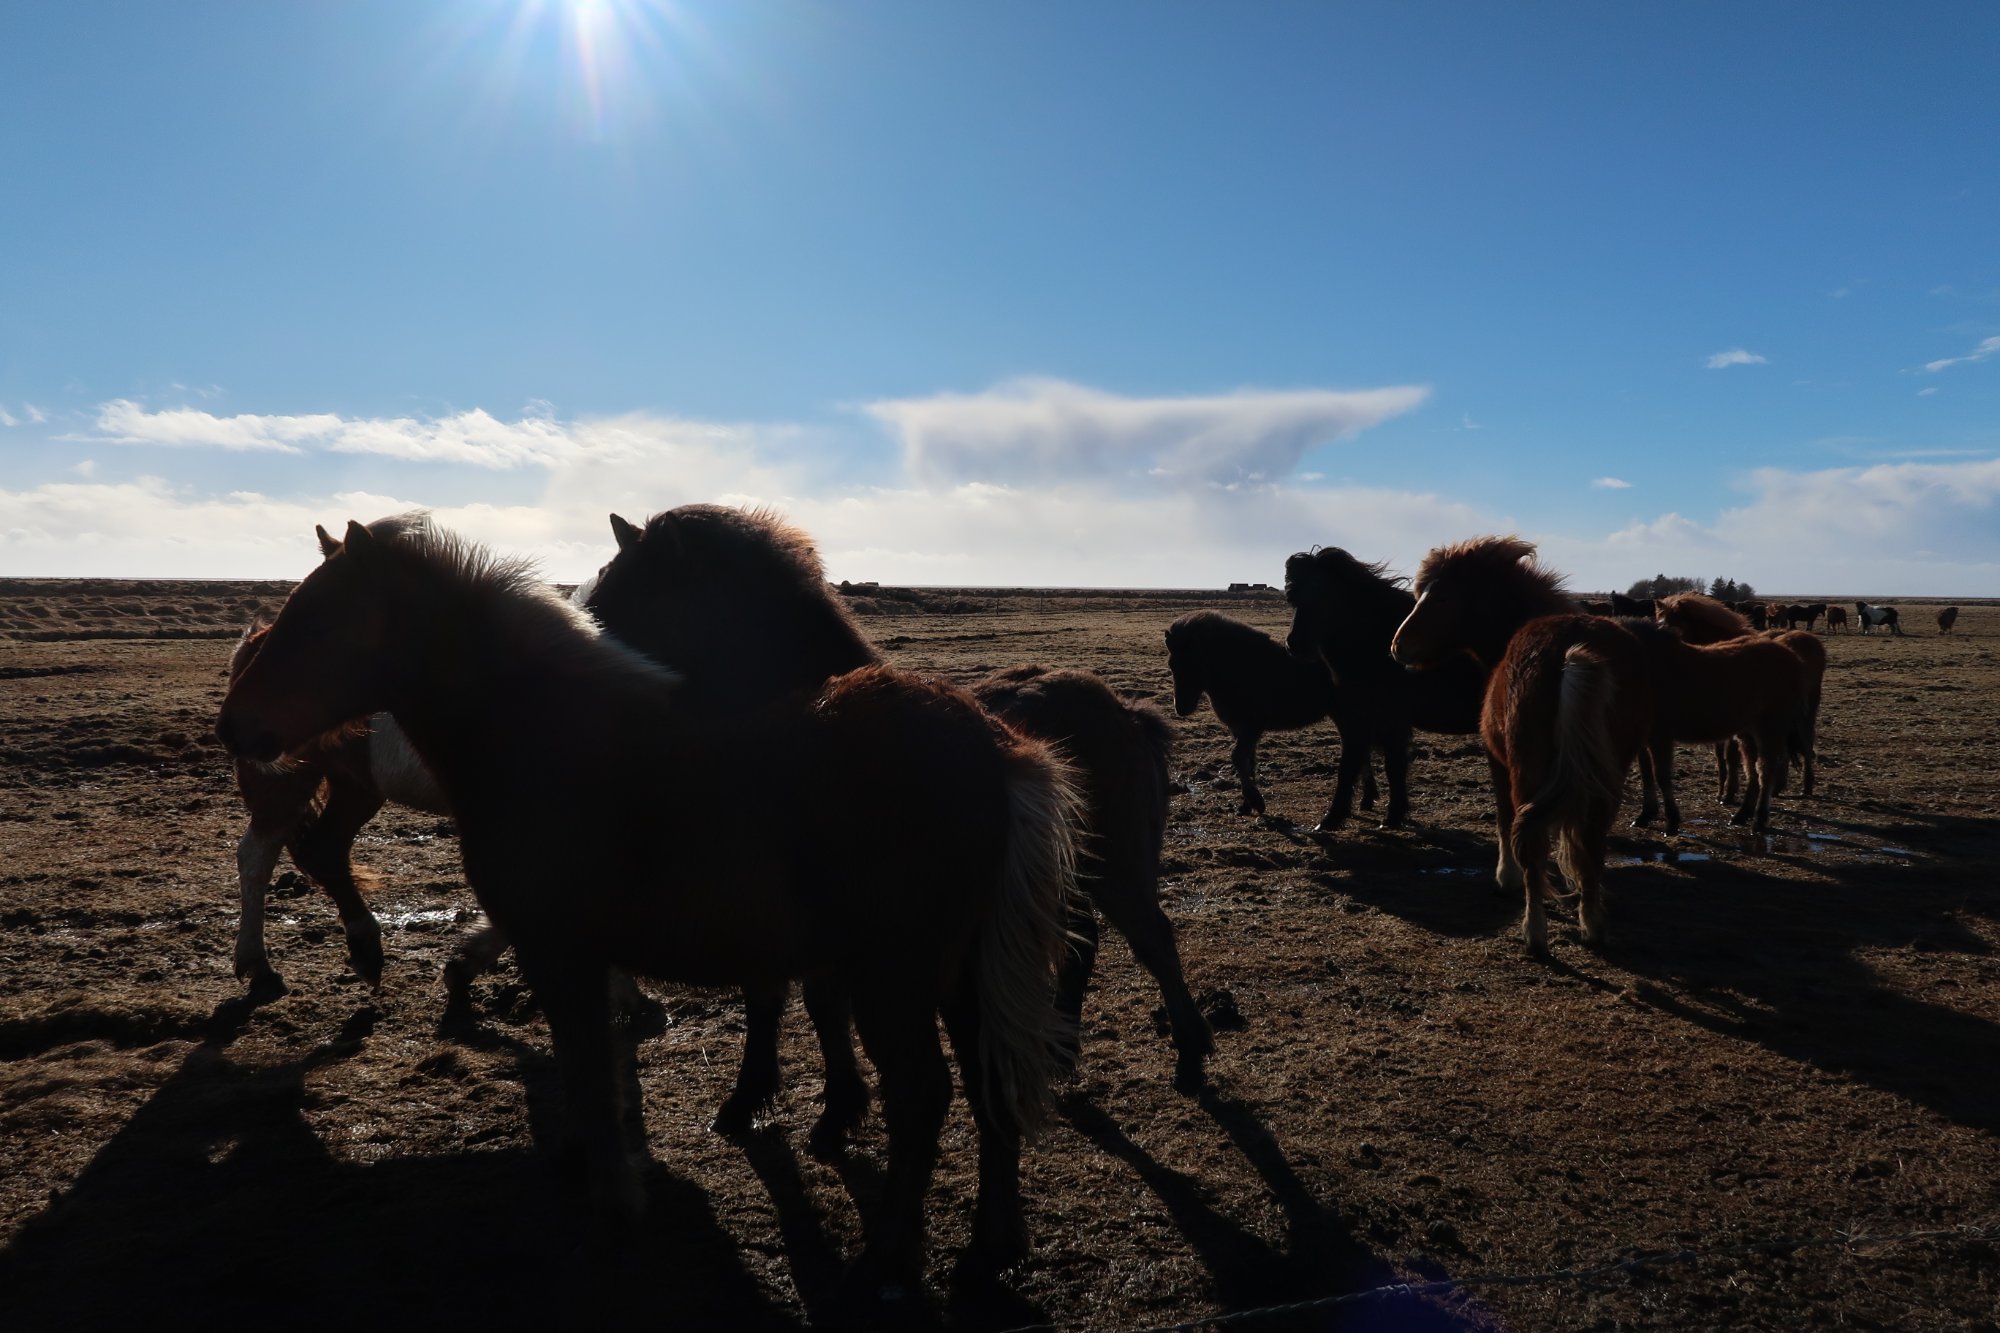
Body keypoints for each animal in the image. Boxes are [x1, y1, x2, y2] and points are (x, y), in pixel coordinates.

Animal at [217, 514, 1082, 1290]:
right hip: (960, 974)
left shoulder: (559, 948)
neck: (540, 736)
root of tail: (994, 745)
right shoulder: (578, 952)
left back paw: (893, 1258)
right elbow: (590, 1061)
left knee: (924, 1096)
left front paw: (614, 1199)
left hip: (895, 977)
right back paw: (994, 1244)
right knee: (988, 1085)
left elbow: (592, 1068)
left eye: (319, 621)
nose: (232, 725)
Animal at [585, 505, 1212, 1098]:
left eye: (627, 601)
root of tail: (1123, 711)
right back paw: (1062, 1055)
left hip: (1116, 866)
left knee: (1153, 939)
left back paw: (1188, 1053)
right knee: (1083, 945)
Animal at [1162, 609, 1364, 817]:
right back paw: (1366, 800)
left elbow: (1238, 757)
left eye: (1194, 663)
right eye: (1172, 665)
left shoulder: (1253, 726)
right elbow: (1248, 761)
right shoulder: (1238, 728)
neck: (1239, 669)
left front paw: (1256, 801)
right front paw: (1246, 805)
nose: (1181, 708)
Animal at [1280, 547, 1486, 832]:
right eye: (1294, 599)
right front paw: (1392, 814)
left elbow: (1357, 766)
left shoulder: (1374, 720)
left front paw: (1333, 818)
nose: (1294, 645)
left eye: (1324, 596)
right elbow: (1388, 766)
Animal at [1388, 536, 1655, 953]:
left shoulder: (1498, 760)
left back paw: (1534, 931)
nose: (1398, 646)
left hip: (1527, 768)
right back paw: (1593, 923)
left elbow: (1503, 817)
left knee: (1530, 840)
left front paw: (1505, 877)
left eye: (1441, 597)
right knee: (1592, 842)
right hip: (1609, 774)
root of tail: (1571, 652)